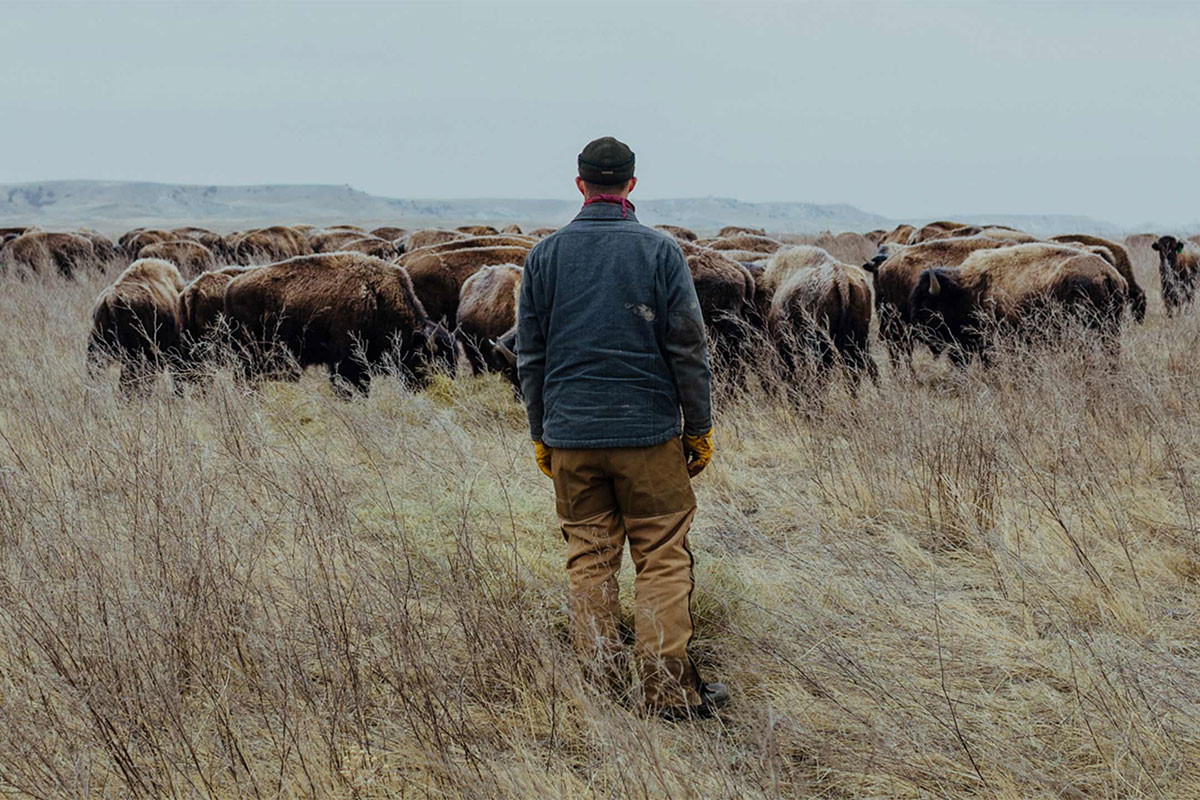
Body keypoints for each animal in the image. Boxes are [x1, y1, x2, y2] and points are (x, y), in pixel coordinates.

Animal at [222, 253, 453, 398]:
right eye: (431, 360)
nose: (440, 390)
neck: (378, 299)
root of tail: (232, 286)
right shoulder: (347, 362)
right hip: (249, 358)